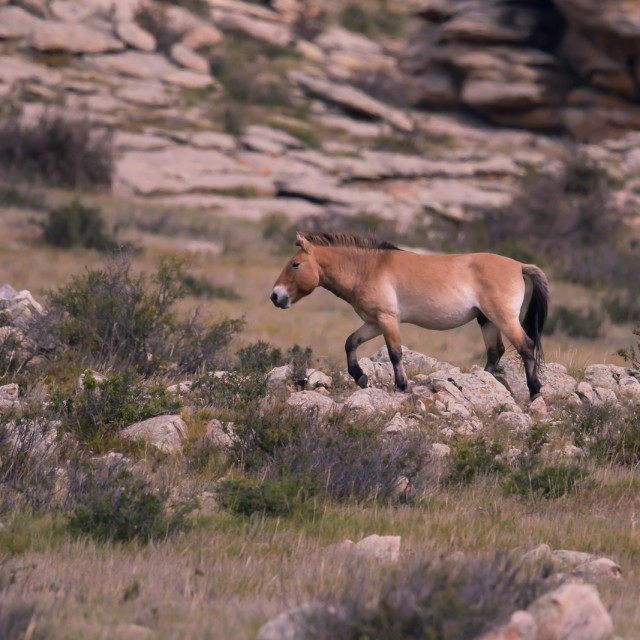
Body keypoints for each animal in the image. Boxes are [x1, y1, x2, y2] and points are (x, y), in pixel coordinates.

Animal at [270, 232, 550, 400]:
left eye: (295, 264)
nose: (275, 296)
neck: (368, 269)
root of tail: (519, 265)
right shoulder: (373, 322)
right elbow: (350, 343)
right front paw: (360, 377)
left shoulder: (387, 319)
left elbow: (395, 353)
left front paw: (401, 386)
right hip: (486, 319)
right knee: (495, 352)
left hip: (503, 318)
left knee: (526, 346)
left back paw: (535, 391)